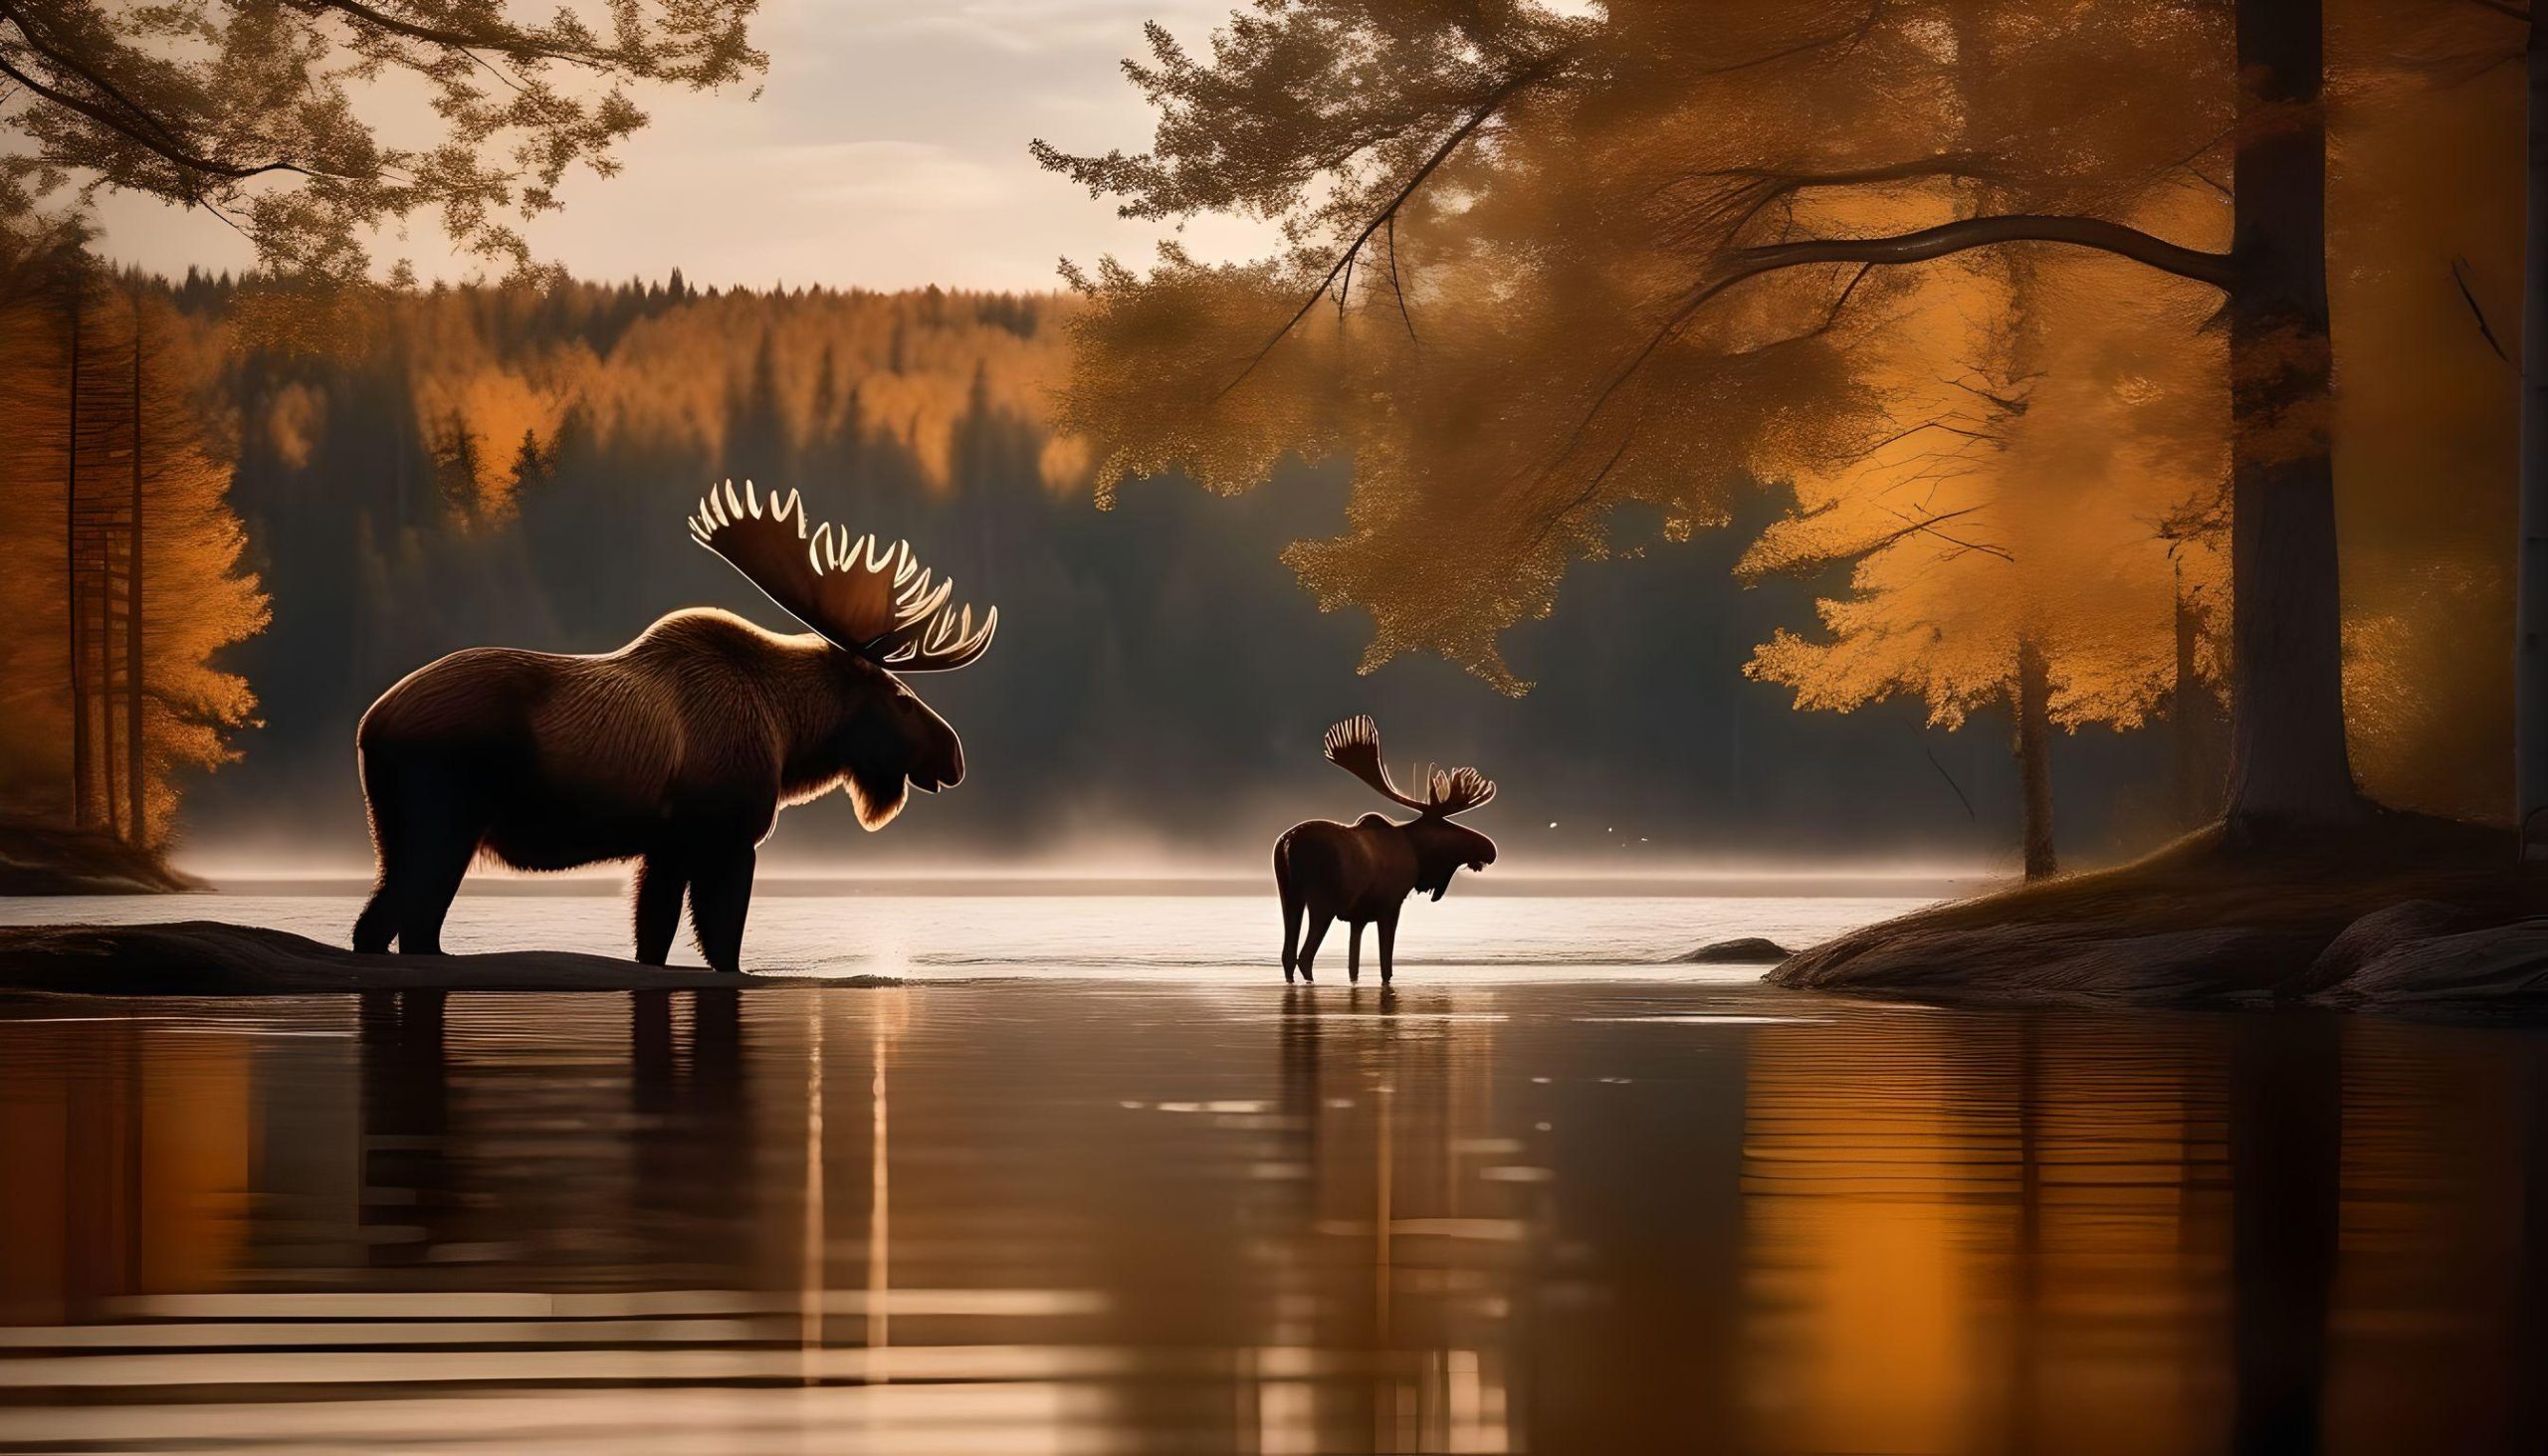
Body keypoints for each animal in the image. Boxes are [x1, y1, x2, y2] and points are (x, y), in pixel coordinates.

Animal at [352, 481, 996, 973]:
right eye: (901, 699)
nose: (956, 756)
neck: (789, 733)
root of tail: (368, 727)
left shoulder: (666, 846)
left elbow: (653, 942)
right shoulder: (727, 835)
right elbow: (723, 945)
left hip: (402, 832)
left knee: (404, 929)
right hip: (441, 823)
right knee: (388, 929)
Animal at [1274, 716, 1498, 984]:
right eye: (1447, 825)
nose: (1490, 848)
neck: (1418, 854)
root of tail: (1289, 842)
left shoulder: (1358, 917)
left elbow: (1353, 966)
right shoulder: (1390, 905)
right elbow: (1386, 965)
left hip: (1288, 895)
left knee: (1287, 955)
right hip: (1322, 902)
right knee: (1304, 957)